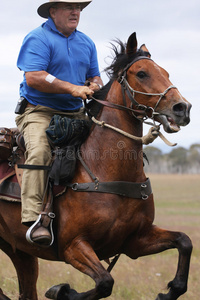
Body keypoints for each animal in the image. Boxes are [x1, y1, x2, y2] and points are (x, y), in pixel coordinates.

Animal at [0, 31, 192, 298]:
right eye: (141, 73)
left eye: (166, 72)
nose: (182, 108)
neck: (106, 174)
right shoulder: (73, 247)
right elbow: (104, 282)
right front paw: (61, 290)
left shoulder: (135, 241)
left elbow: (184, 242)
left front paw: (170, 290)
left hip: (20, 252)